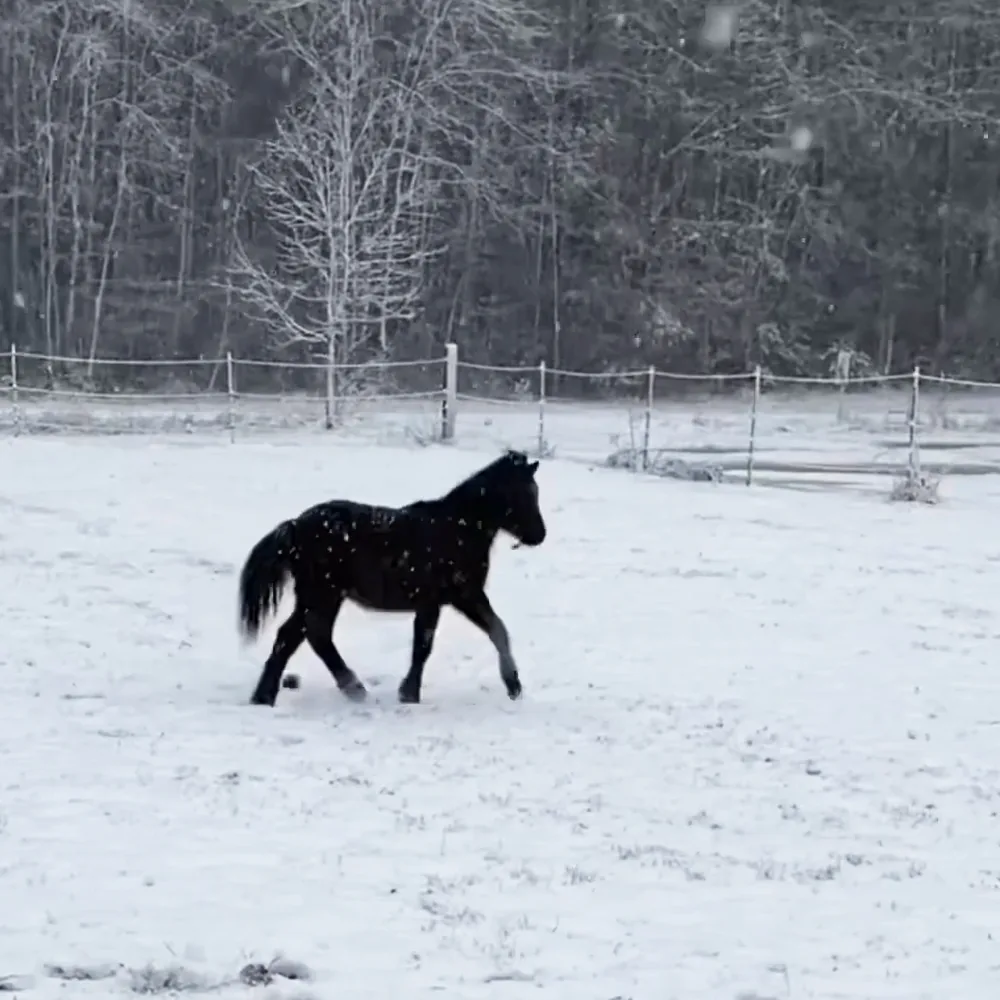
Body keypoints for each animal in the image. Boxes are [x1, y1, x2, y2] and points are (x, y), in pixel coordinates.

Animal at [237, 449, 547, 706]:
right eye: (524, 493)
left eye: (534, 491)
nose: (539, 535)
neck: (457, 530)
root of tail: (295, 525)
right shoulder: (445, 599)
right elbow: (424, 646)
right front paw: (409, 693)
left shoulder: (458, 598)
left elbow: (496, 630)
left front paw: (514, 686)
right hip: (323, 595)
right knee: (312, 635)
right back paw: (350, 688)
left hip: (317, 597)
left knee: (295, 636)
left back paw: (266, 696)